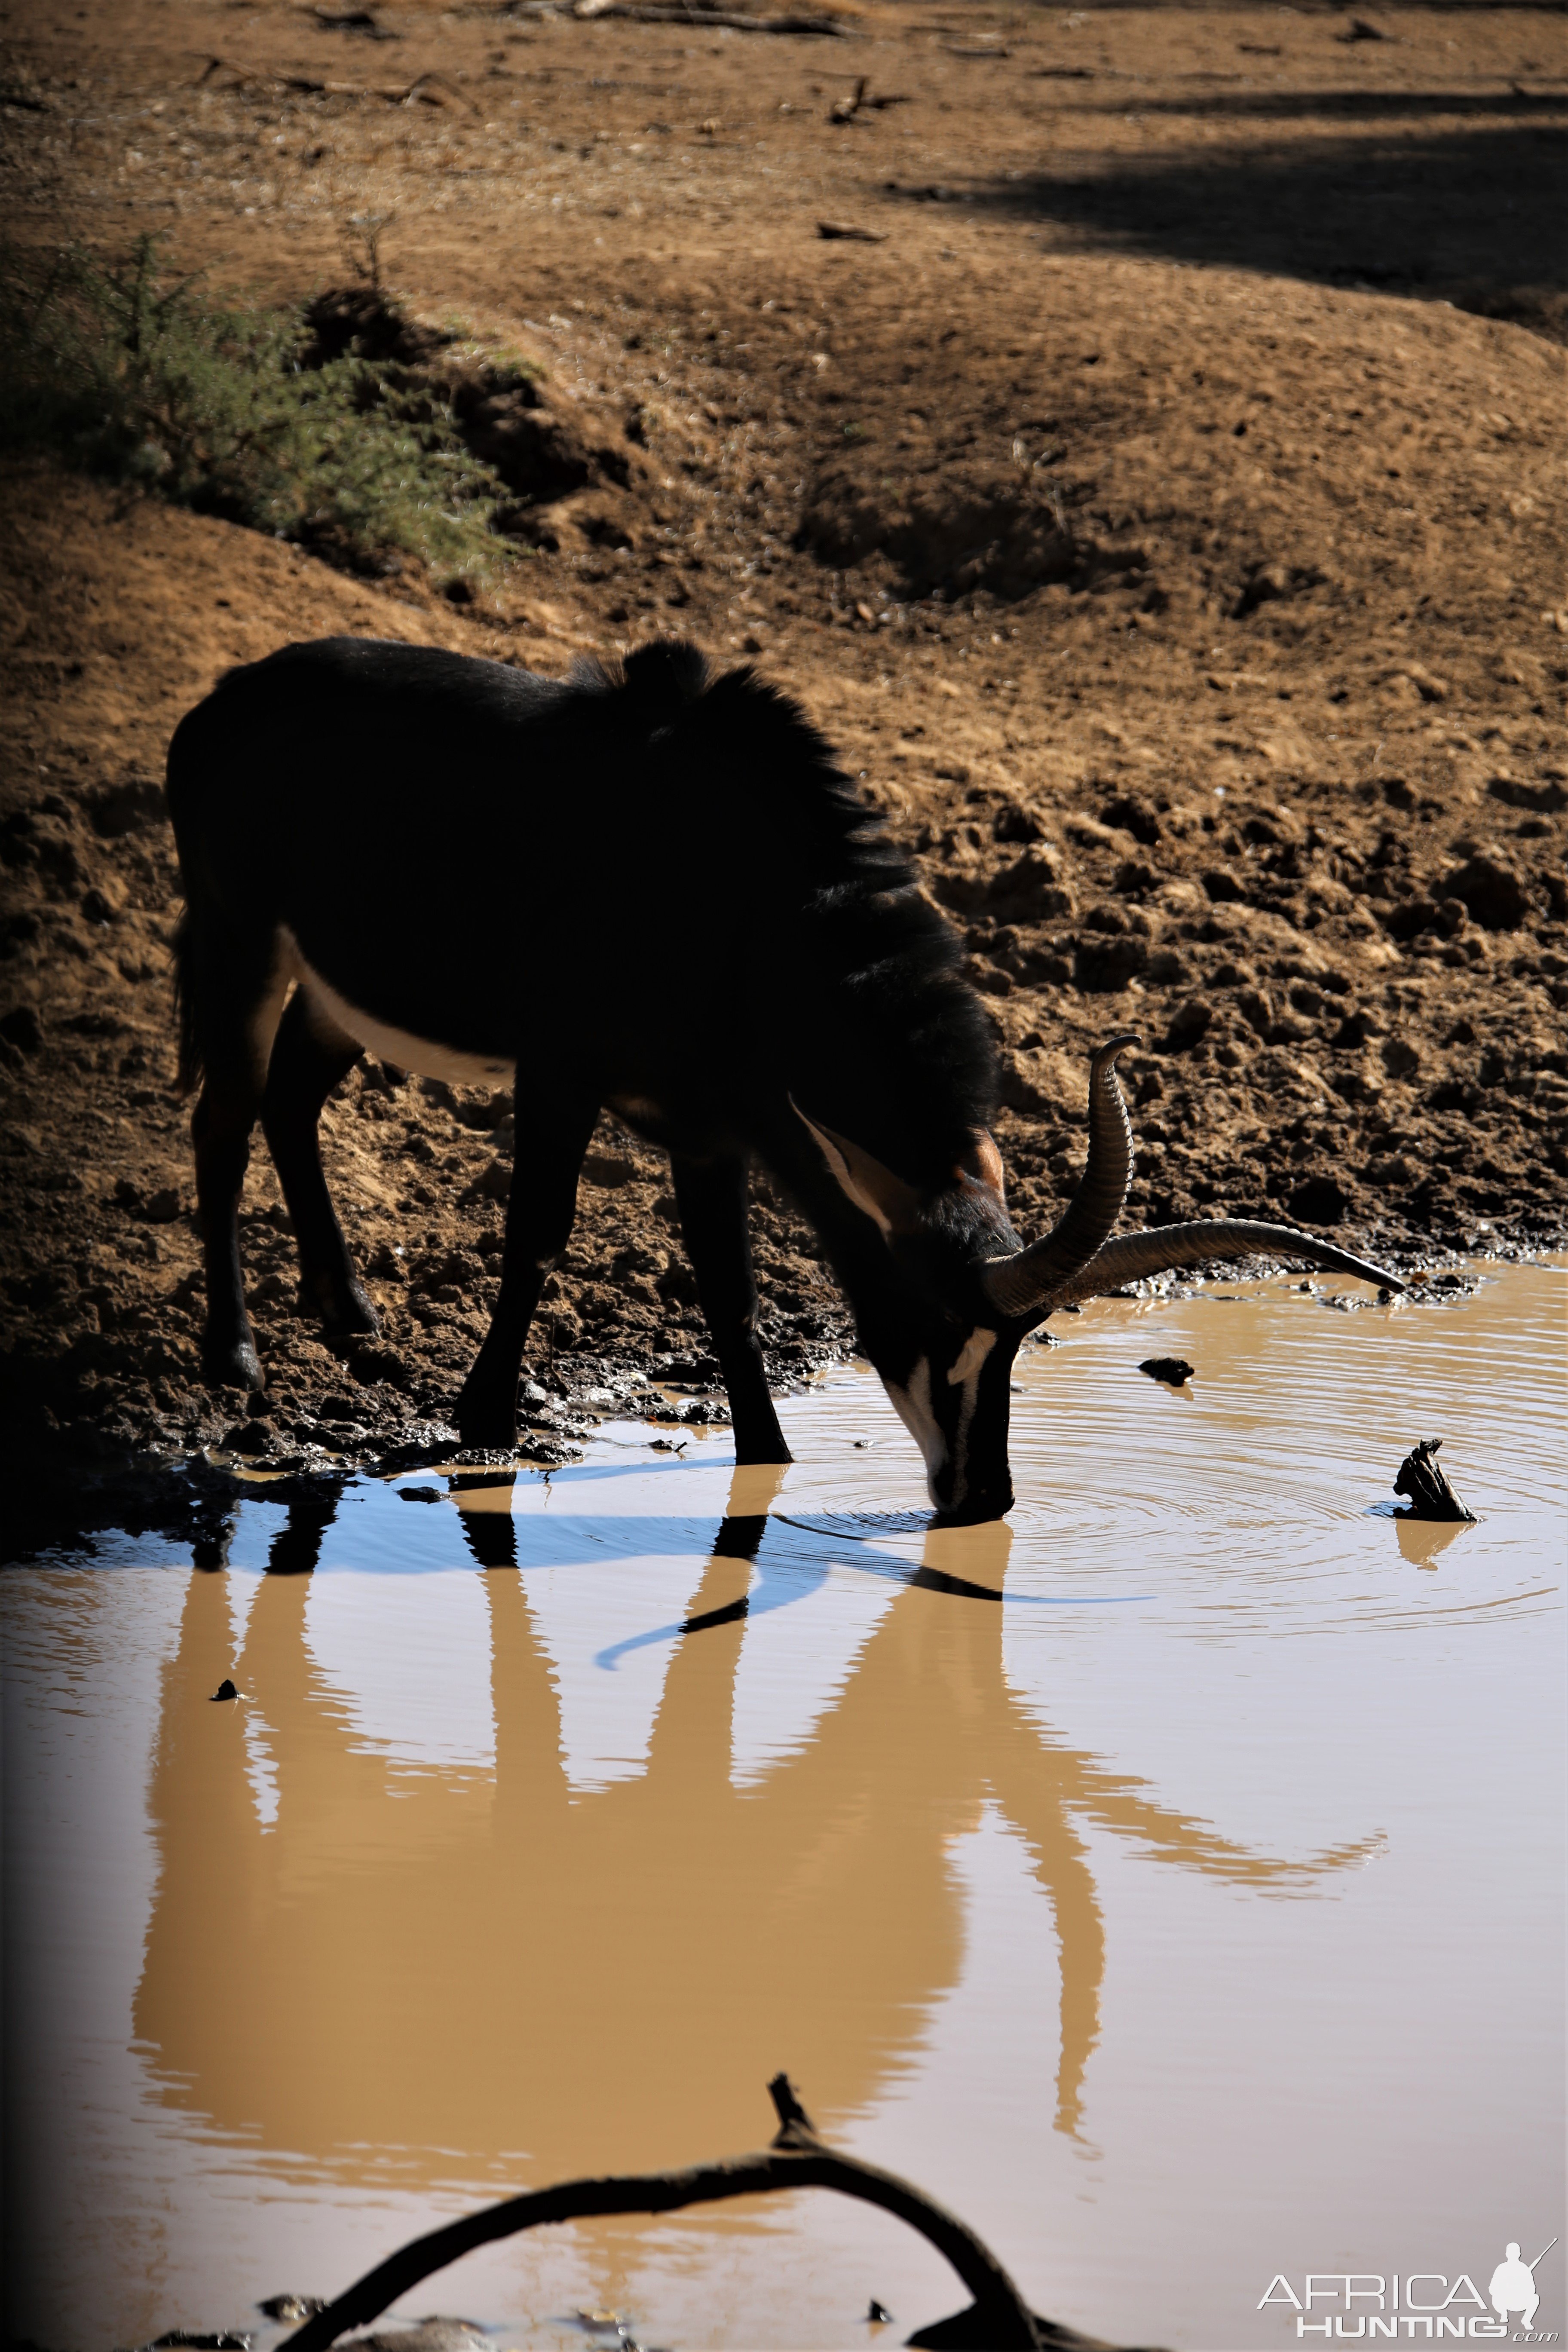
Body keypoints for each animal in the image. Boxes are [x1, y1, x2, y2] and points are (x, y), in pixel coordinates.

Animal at [165, 640, 1401, 1524]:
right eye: (932, 1318)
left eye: (1013, 1346)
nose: (983, 1499)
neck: (748, 905)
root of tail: (223, 699)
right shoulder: (562, 1073)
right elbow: (539, 1235)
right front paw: (481, 1416)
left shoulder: (716, 1127)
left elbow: (730, 1288)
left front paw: (766, 1456)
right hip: (239, 941)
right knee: (224, 1115)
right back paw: (235, 1353)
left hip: (330, 992)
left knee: (290, 1100)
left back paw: (351, 1313)